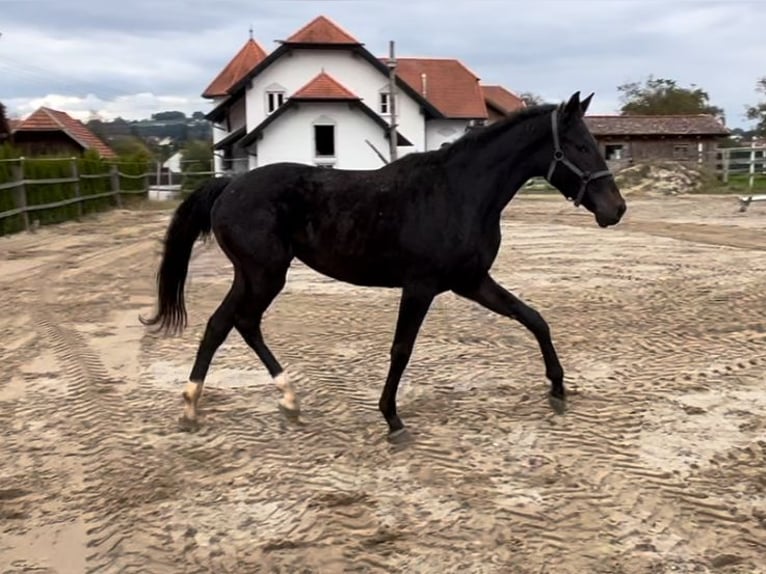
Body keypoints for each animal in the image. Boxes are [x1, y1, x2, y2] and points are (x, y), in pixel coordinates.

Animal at [141, 91, 628, 440]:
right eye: (580, 146)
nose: (616, 209)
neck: (460, 192)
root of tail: (229, 186)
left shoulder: (471, 280)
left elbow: (533, 318)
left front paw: (558, 389)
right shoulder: (421, 286)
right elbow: (402, 349)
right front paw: (392, 419)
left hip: (257, 276)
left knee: (236, 324)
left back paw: (284, 402)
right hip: (263, 275)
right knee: (225, 325)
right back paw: (195, 407)